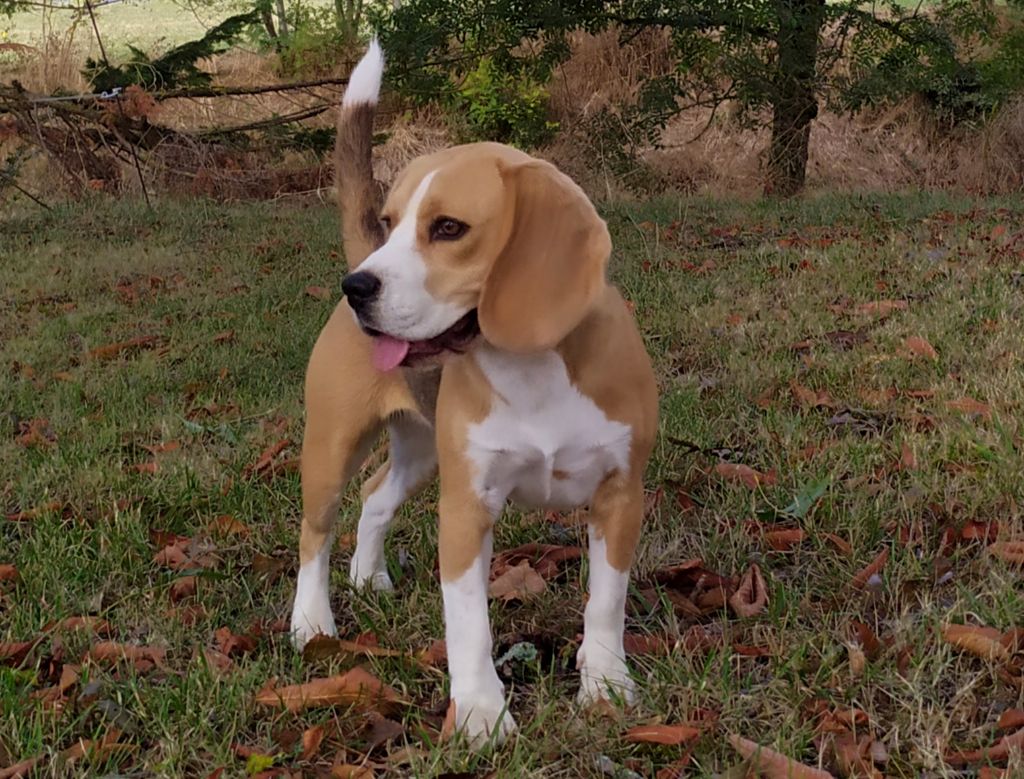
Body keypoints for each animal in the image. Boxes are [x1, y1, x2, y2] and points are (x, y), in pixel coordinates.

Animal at [290, 39, 655, 745]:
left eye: (449, 228)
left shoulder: (621, 496)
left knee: (375, 495)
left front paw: (605, 685)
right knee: (314, 536)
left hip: (422, 448)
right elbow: (469, 626)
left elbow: (606, 601)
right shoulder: (466, 506)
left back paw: (369, 577)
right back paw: (311, 622)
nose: (358, 288)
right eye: (390, 222)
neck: (530, 369)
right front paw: (482, 715)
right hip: (331, 447)